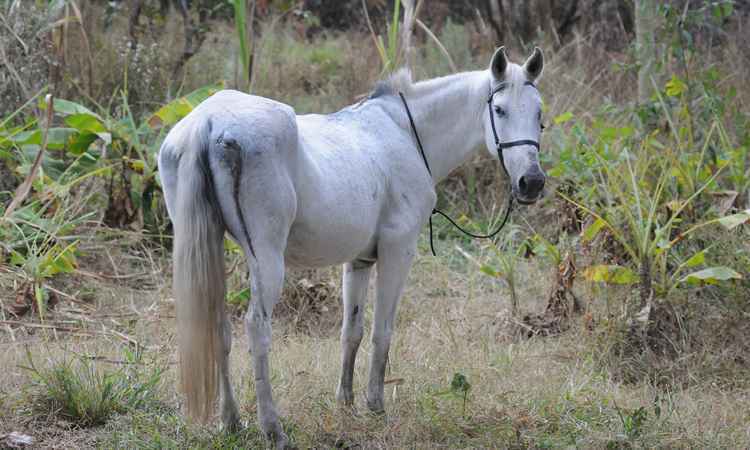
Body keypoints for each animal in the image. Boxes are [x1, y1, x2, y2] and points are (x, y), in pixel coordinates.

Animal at [159, 46, 548, 446]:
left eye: (539, 112)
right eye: (499, 110)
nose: (531, 182)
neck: (406, 133)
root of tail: (208, 123)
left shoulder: (359, 261)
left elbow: (352, 332)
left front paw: (345, 402)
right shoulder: (398, 252)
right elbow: (381, 332)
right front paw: (375, 405)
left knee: (219, 329)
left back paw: (232, 421)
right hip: (267, 260)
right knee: (257, 328)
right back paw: (273, 428)